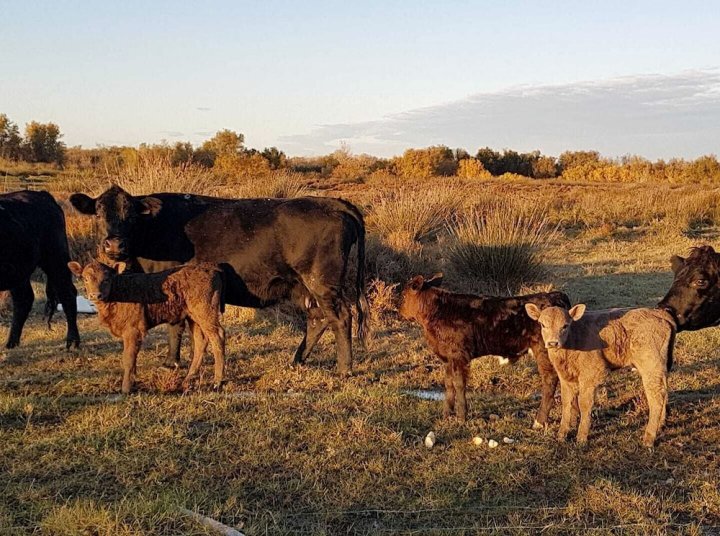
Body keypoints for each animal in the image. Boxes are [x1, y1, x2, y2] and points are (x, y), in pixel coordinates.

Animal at [0, 191, 80, 350]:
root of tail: (42, 195)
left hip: (56, 260)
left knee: (67, 294)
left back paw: (73, 341)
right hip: (19, 272)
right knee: (24, 299)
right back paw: (11, 343)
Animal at [68, 260, 225, 394]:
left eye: (106, 279)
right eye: (85, 279)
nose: (95, 295)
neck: (119, 292)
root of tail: (210, 270)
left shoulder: (133, 331)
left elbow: (128, 357)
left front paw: (126, 389)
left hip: (205, 312)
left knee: (218, 336)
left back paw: (217, 382)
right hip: (193, 317)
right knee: (201, 340)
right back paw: (188, 380)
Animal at [70, 184, 368, 372]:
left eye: (131, 215)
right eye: (98, 213)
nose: (114, 245)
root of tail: (332, 202)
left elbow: (174, 325)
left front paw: (171, 362)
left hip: (323, 282)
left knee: (341, 317)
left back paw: (344, 369)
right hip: (304, 286)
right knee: (318, 319)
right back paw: (297, 360)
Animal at [396, 274, 572, 426]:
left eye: (403, 295)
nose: (398, 311)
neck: (438, 311)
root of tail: (555, 295)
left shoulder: (459, 356)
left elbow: (459, 384)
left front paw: (461, 417)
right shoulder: (449, 358)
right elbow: (449, 384)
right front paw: (446, 414)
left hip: (544, 351)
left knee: (550, 380)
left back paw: (539, 421)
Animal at [524, 306, 676, 448]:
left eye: (565, 325)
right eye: (542, 324)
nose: (552, 343)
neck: (574, 337)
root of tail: (658, 313)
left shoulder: (591, 374)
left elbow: (584, 404)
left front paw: (581, 437)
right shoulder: (565, 378)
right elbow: (566, 403)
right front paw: (562, 435)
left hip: (651, 366)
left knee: (656, 398)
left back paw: (648, 439)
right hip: (660, 369)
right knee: (663, 392)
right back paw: (660, 425)